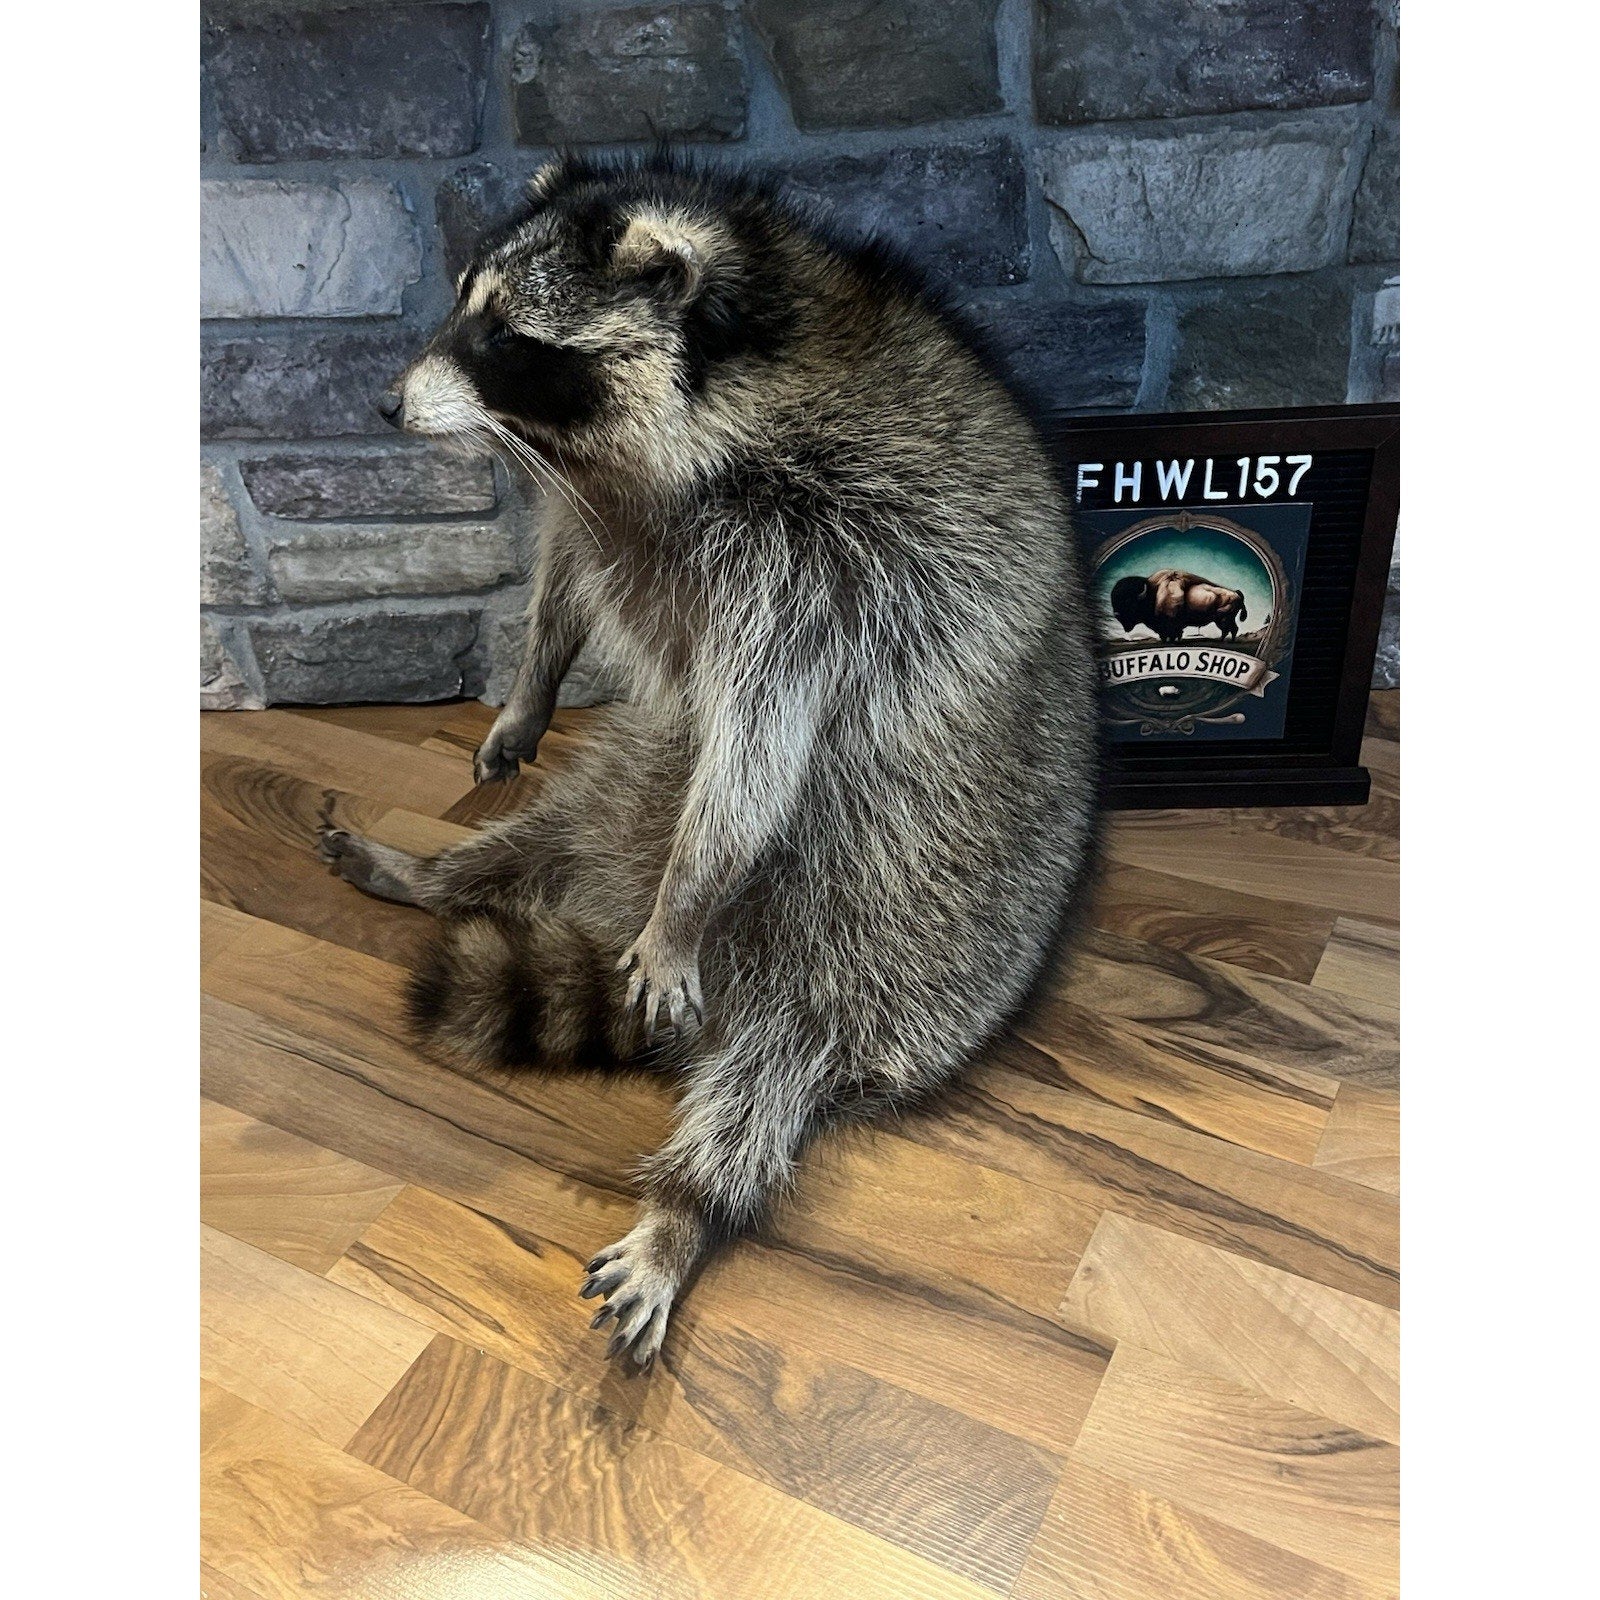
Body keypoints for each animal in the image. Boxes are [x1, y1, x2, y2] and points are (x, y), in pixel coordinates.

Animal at [319, 152, 1099, 1368]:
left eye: (509, 336)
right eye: (461, 306)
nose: (388, 406)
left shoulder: (819, 560)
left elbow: (760, 747)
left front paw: (691, 891)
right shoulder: (609, 506)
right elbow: (564, 575)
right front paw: (530, 683)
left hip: (874, 957)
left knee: (768, 1082)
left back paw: (685, 1208)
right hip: (629, 786)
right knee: (548, 833)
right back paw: (436, 874)